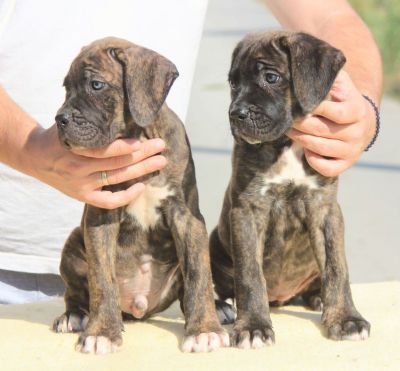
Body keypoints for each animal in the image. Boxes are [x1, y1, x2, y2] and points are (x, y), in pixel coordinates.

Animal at [52, 37, 228, 354]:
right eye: (66, 88)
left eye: (96, 85)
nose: (60, 119)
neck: (137, 136)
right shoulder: (100, 216)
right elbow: (102, 279)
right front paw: (102, 332)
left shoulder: (187, 217)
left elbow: (197, 275)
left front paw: (204, 329)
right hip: (73, 244)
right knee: (76, 291)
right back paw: (74, 315)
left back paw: (218, 307)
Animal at [211, 31, 370, 348]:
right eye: (233, 83)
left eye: (271, 77)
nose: (236, 114)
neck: (287, 142)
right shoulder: (247, 211)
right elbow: (249, 275)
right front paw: (254, 326)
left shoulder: (325, 210)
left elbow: (337, 268)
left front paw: (346, 317)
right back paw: (221, 307)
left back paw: (318, 296)